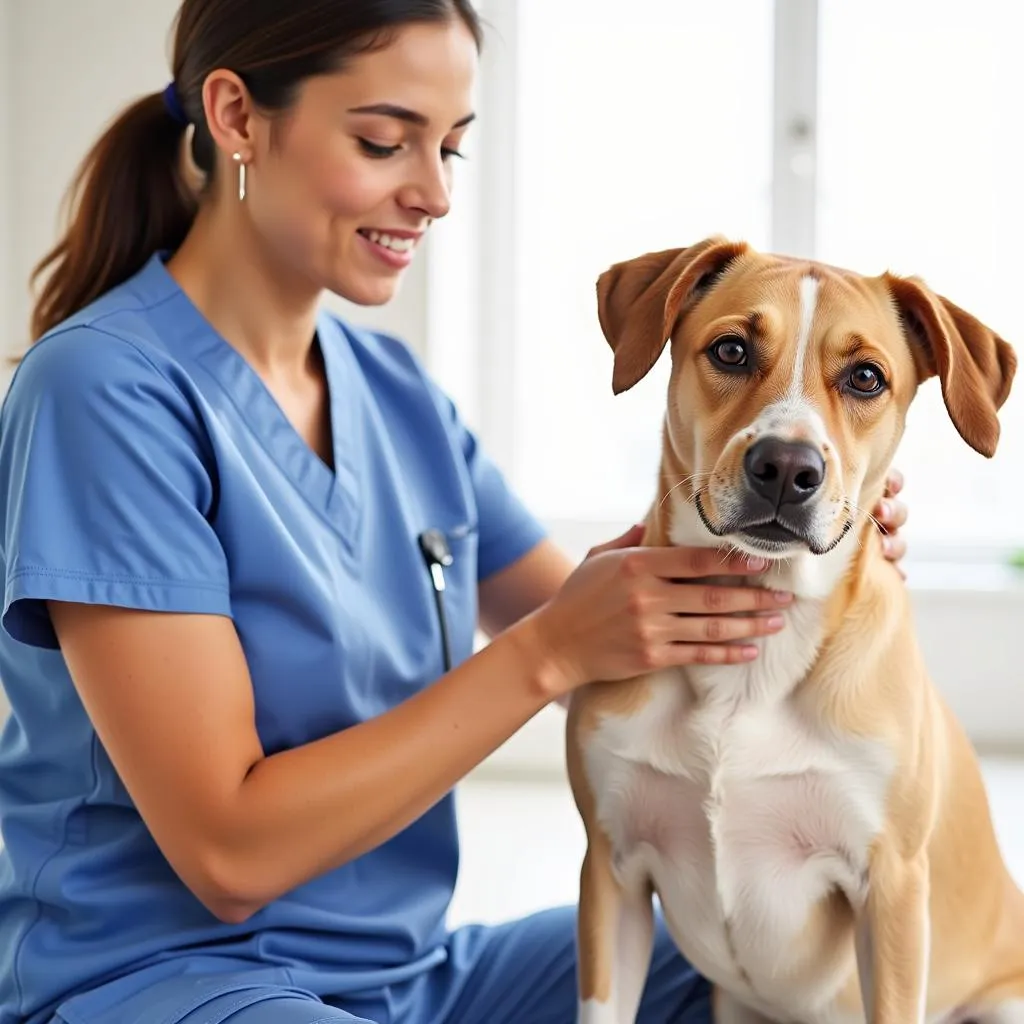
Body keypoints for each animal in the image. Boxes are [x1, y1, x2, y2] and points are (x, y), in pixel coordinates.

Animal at [569, 234, 1024, 1024]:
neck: (756, 652)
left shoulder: (891, 891)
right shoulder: (611, 872)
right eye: (731, 350)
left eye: (867, 377)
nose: (786, 466)